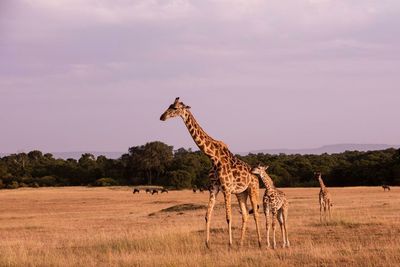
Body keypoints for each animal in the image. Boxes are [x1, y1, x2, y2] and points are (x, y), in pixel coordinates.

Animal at [159, 97, 262, 248]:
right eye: (169, 105)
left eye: (175, 108)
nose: (162, 117)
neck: (213, 157)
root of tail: (255, 176)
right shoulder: (213, 188)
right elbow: (208, 215)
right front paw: (207, 244)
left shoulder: (226, 188)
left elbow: (228, 217)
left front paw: (229, 244)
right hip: (241, 193)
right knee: (245, 214)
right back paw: (241, 243)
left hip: (253, 189)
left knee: (255, 213)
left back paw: (260, 242)